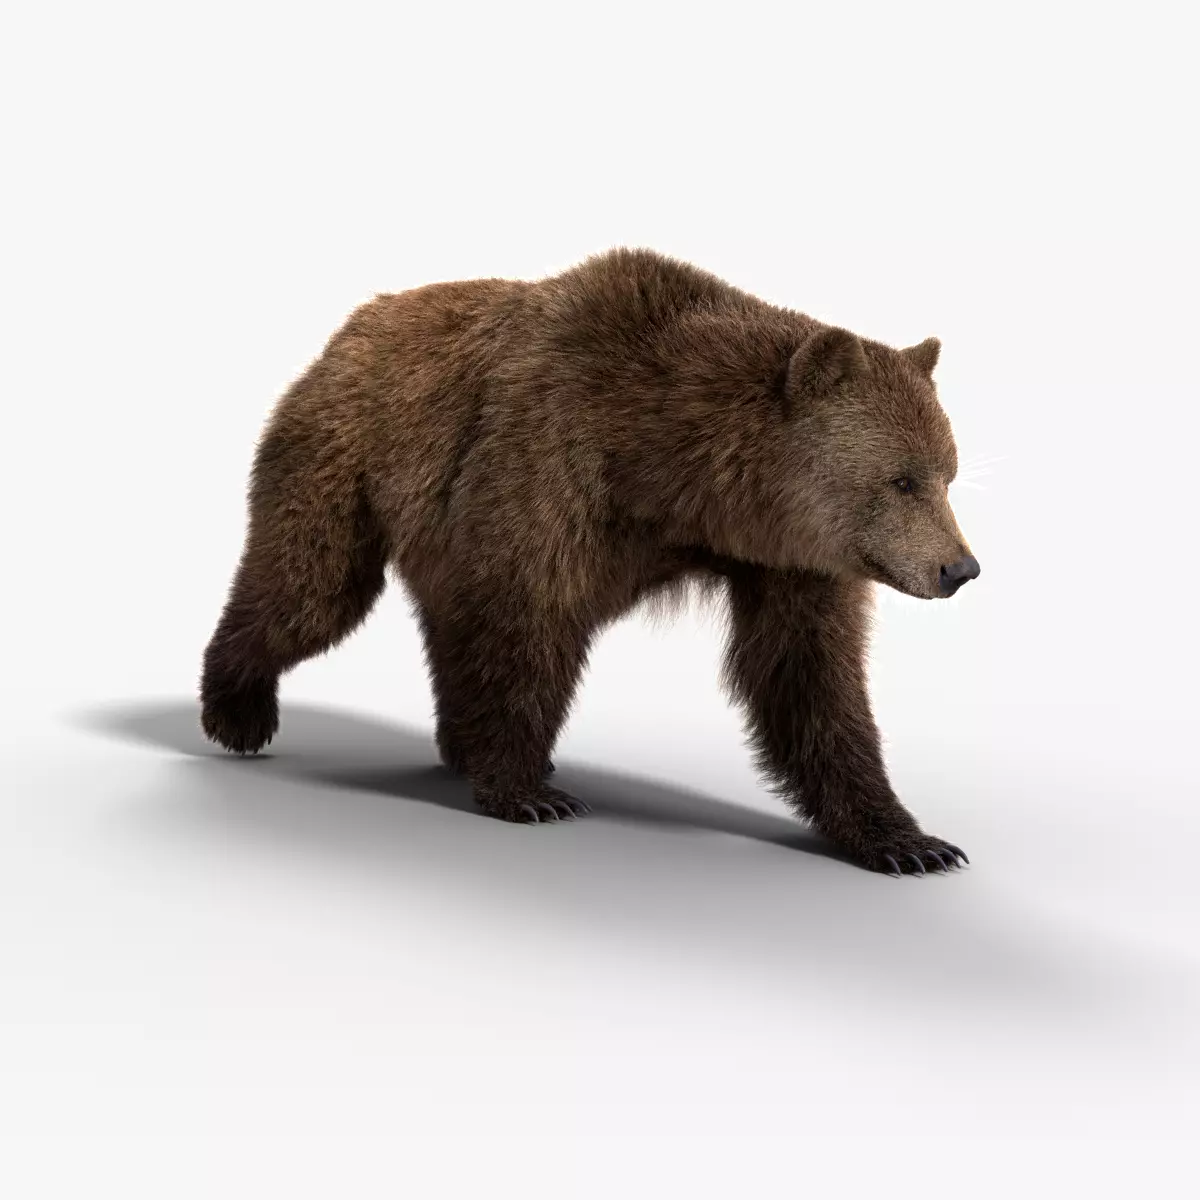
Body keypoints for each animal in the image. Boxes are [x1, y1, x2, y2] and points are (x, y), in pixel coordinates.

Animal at [200, 247, 979, 877]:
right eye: (902, 479)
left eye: (948, 473)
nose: (960, 569)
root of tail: (354, 322)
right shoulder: (549, 461)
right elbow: (523, 621)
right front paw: (529, 793)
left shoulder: (793, 557)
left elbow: (808, 675)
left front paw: (911, 842)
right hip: (347, 454)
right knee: (310, 589)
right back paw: (237, 712)